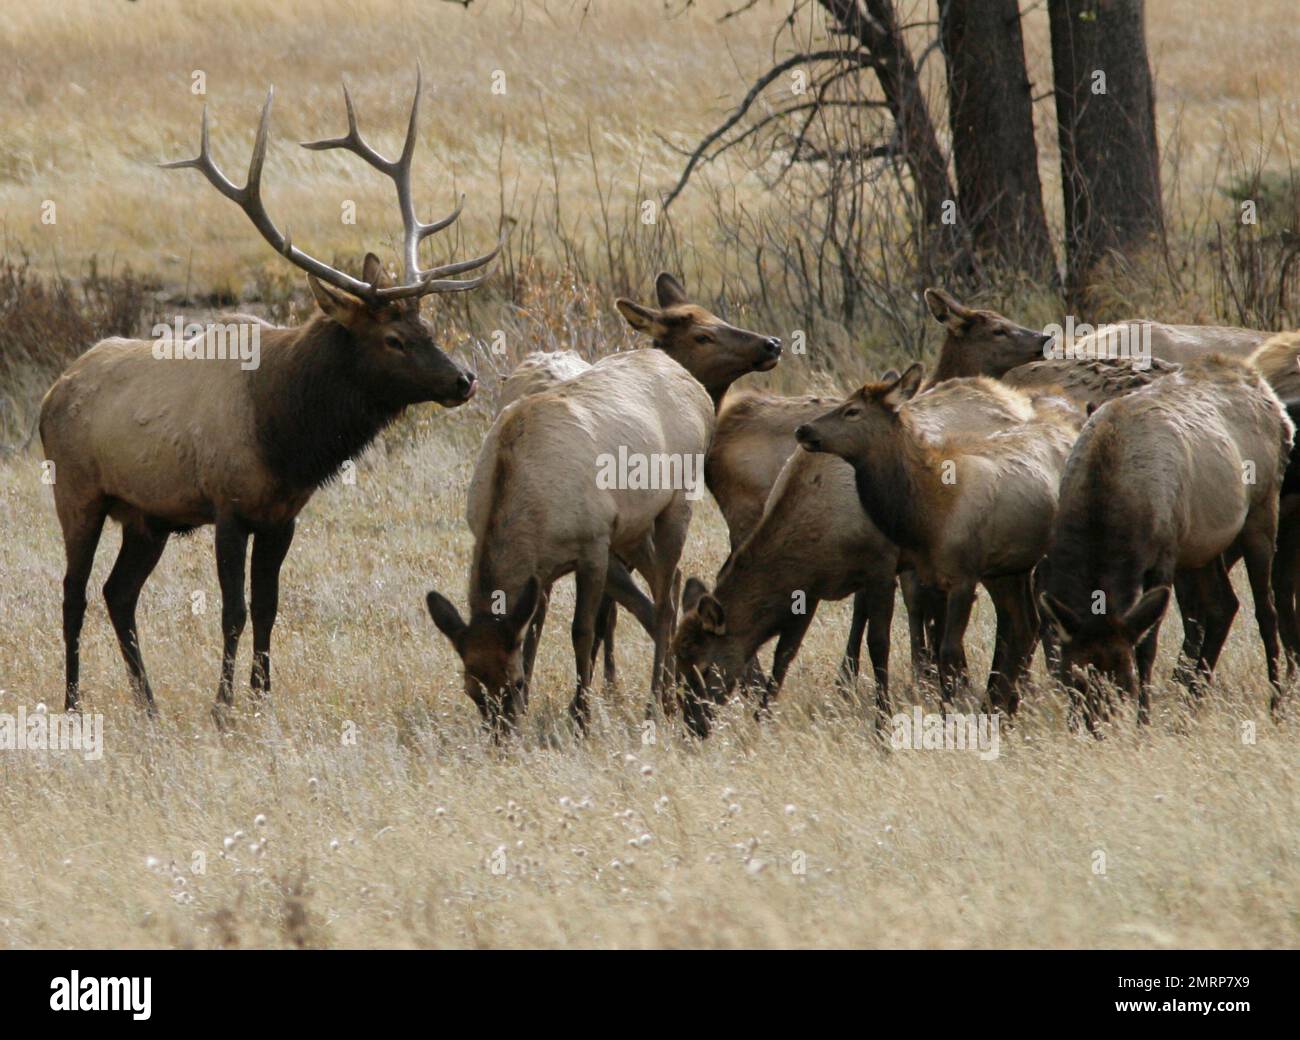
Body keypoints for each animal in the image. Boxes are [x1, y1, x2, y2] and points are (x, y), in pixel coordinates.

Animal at [40, 73, 498, 726]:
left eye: (428, 325)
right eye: (393, 338)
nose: (464, 380)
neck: (286, 434)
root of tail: (53, 393)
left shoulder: (283, 515)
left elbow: (268, 607)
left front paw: (262, 698)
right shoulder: (228, 505)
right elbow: (232, 611)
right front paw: (224, 705)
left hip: (147, 517)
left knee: (117, 593)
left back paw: (148, 703)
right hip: (78, 490)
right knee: (73, 593)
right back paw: (75, 702)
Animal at [425, 348, 714, 735]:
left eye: (513, 683)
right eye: (472, 690)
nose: (502, 737)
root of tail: (699, 389)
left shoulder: (592, 545)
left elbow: (582, 631)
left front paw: (581, 718)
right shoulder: (544, 567)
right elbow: (533, 629)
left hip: (676, 502)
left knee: (665, 602)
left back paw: (657, 704)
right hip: (631, 527)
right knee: (662, 591)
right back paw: (670, 694)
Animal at [1037, 355, 1293, 732]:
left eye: (1125, 682)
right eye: (1075, 678)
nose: (1098, 728)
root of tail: (1267, 391)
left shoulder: (1164, 555)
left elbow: (1148, 645)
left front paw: (1144, 722)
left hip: (1261, 510)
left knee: (1266, 609)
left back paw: (1275, 704)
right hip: (1202, 543)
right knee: (1224, 604)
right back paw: (1192, 703)